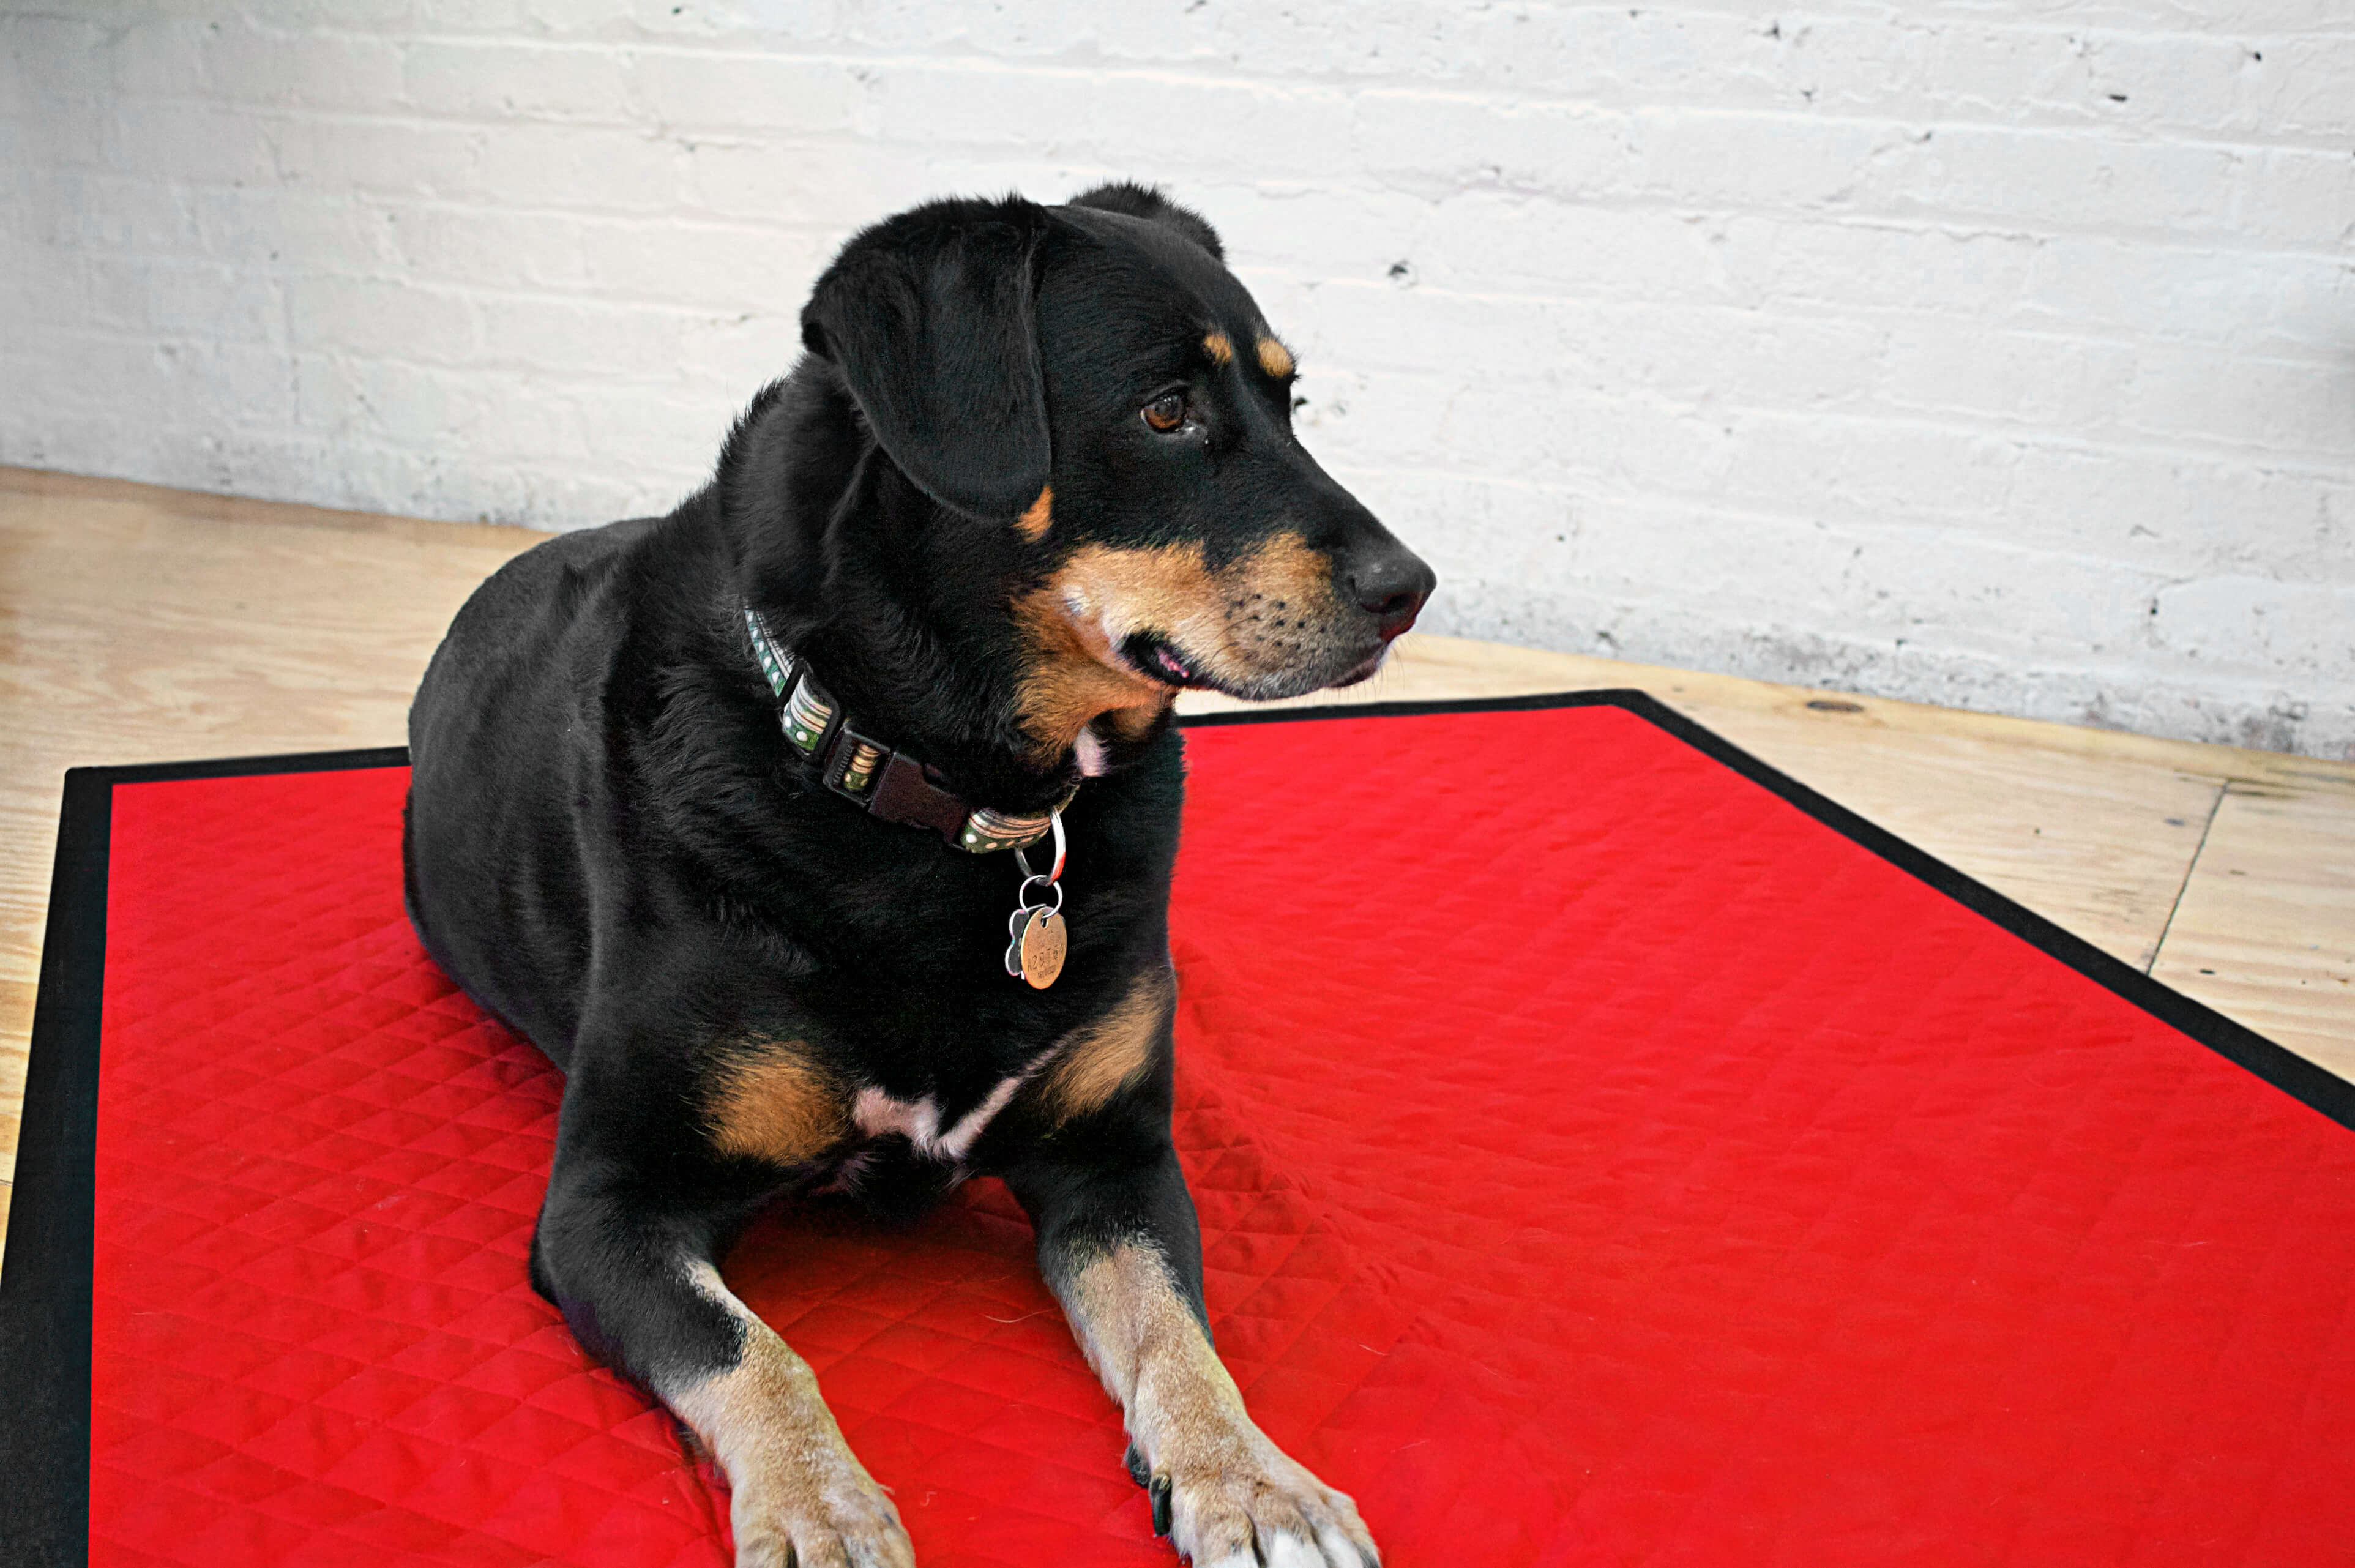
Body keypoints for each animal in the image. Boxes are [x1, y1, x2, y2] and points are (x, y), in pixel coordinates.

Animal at [407, 185, 1431, 1563]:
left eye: (1291, 402)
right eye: (1164, 409)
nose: (1412, 589)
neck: (966, 804)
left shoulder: (1115, 1157)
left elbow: (1176, 1332)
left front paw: (1251, 1479)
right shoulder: (607, 1203)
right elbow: (753, 1353)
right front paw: (820, 1504)